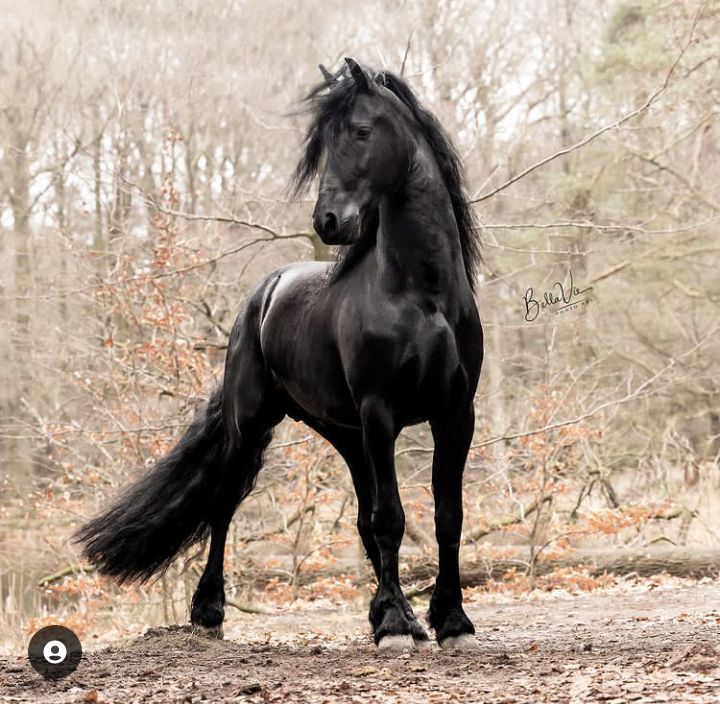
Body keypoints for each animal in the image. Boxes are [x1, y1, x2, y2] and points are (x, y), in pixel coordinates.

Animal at [75, 58, 483, 650]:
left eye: (361, 132)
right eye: (323, 144)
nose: (328, 222)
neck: (421, 294)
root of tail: (262, 295)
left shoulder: (454, 413)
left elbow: (446, 515)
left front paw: (450, 621)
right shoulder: (381, 412)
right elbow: (391, 517)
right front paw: (395, 629)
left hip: (348, 436)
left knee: (362, 518)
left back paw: (390, 611)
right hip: (256, 425)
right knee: (224, 504)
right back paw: (210, 612)